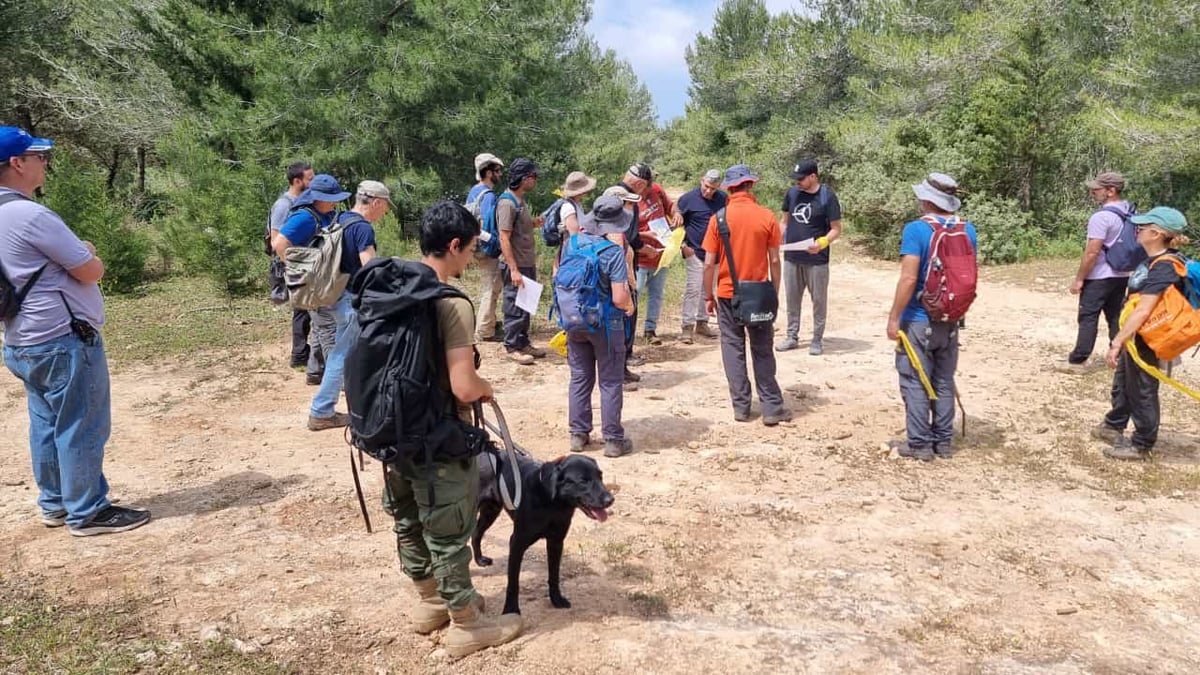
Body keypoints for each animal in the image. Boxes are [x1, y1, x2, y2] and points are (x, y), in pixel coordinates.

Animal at [472, 444, 614, 612]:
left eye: (600, 476)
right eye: (583, 481)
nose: (610, 499)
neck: (552, 504)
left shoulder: (556, 542)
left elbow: (554, 576)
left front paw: (556, 600)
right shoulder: (517, 543)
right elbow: (513, 582)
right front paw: (511, 609)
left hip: (491, 510)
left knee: (476, 533)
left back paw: (479, 560)